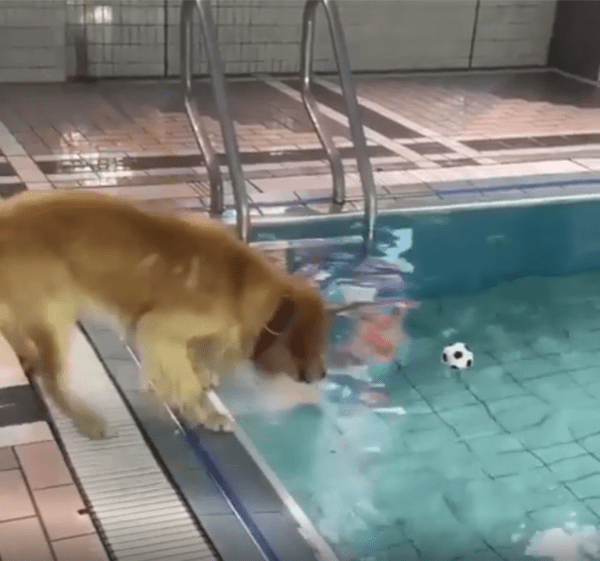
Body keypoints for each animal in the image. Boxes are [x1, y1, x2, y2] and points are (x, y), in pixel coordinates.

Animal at [0, 190, 330, 438]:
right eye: (311, 344)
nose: (325, 374)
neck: (239, 282)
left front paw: (201, 374)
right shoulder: (158, 327)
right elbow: (186, 381)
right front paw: (207, 412)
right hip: (54, 314)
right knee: (51, 381)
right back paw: (87, 419)